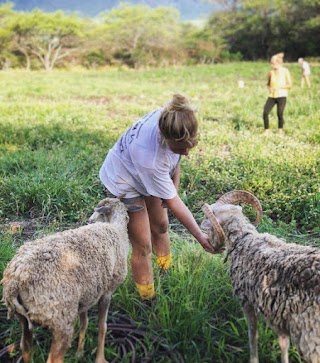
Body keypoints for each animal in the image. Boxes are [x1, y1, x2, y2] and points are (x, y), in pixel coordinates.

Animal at [0, 199, 140, 363]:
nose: (89, 220)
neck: (117, 230)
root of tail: (14, 282)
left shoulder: (86, 297)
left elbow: (84, 323)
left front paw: (79, 352)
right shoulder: (107, 291)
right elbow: (102, 326)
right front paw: (100, 357)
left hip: (23, 318)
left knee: (26, 347)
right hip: (60, 318)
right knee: (54, 357)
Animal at [201, 191, 320, 363]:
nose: (210, 244)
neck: (244, 239)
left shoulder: (246, 301)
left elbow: (253, 334)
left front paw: (253, 358)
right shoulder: (280, 316)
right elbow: (283, 343)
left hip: (311, 340)